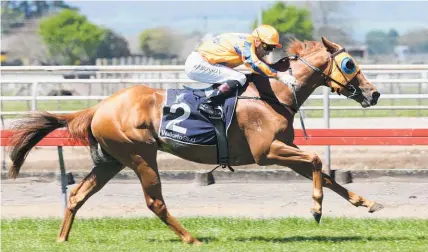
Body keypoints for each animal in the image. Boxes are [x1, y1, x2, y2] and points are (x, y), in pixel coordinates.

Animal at [5, 37, 382, 244]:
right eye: (350, 64)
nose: (374, 93)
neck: (274, 94)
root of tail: (99, 106)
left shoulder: (284, 150)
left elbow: (326, 174)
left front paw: (366, 202)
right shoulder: (268, 152)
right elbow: (318, 161)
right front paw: (316, 208)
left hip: (112, 161)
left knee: (77, 196)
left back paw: (61, 238)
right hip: (141, 156)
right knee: (155, 203)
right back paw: (192, 239)